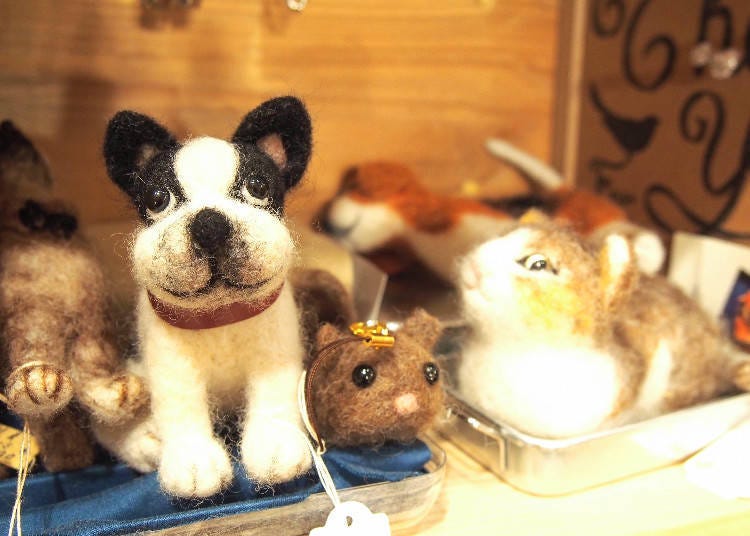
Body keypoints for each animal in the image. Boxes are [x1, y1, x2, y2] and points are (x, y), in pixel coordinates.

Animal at [97, 96, 314, 498]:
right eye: (158, 199)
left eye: (257, 187)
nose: (209, 224)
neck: (219, 314)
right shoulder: (171, 367)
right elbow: (181, 409)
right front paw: (193, 464)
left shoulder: (275, 354)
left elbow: (273, 398)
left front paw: (275, 449)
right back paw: (144, 441)